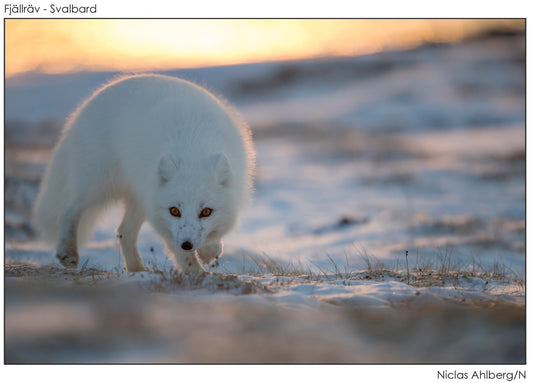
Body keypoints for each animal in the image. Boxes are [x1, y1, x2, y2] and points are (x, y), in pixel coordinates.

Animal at [34, 74, 255, 272]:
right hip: (99, 184)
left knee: (124, 232)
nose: (187, 244)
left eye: (206, 211)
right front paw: (198, 273)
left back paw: (137, 269)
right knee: (69, 211)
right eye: (174, 211)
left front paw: (209, 250)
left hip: (138, 197)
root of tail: (83, 108)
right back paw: (68, 253)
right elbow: (182, 254)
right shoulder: (163, 219)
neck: (192, 147)